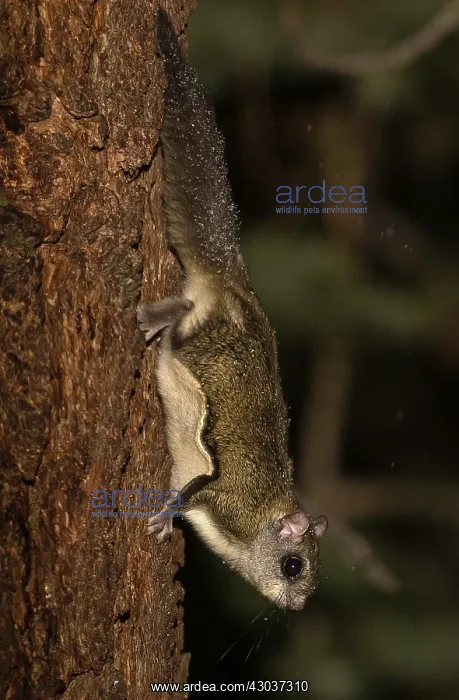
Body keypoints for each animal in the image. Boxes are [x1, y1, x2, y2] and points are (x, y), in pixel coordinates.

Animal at [137, 9, 328, 611]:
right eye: (293, 566)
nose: (295, 606)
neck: (262, 517)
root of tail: (235, 284)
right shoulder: (225, 496)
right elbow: (193, 490)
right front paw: (164, 518)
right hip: (199, 335)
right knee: (180, 322)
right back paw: (154, 322)